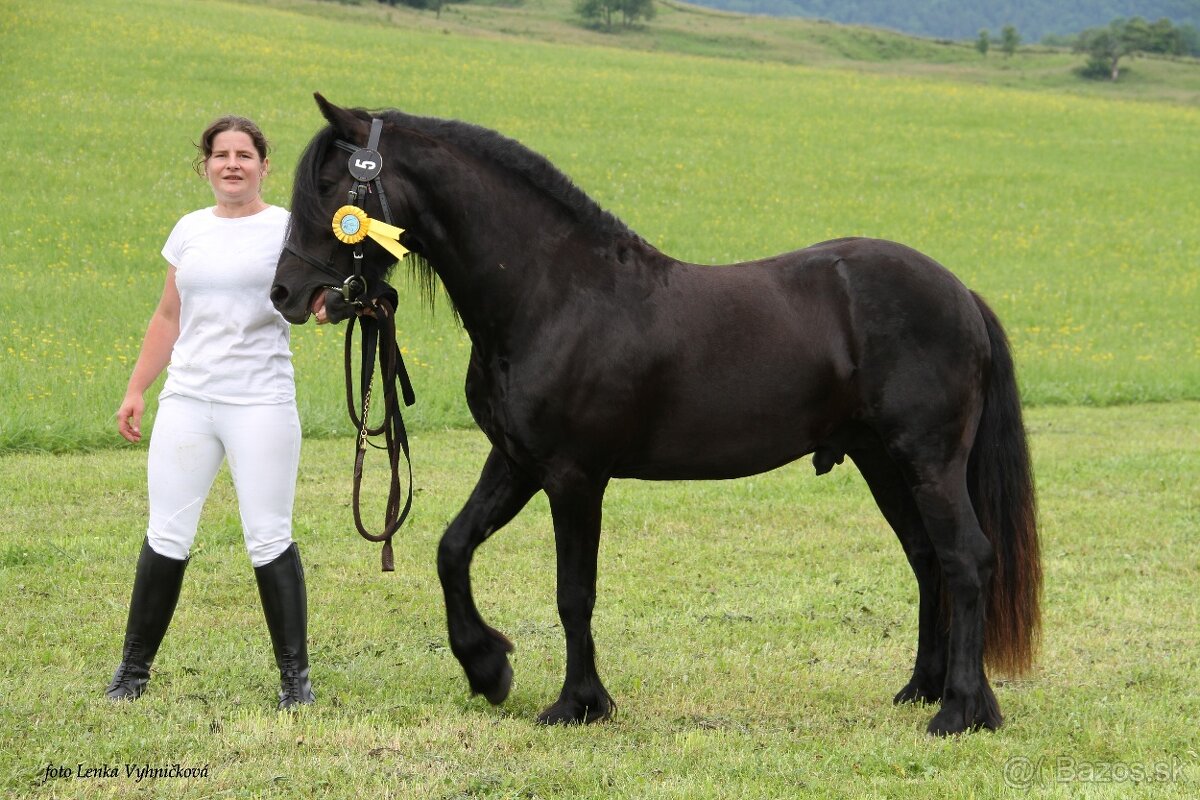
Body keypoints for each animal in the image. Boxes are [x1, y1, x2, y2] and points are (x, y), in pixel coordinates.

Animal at [271, 94, 1042, 736]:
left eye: (333, 189)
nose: (285, 293)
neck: (552, 292)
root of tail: (960, 293)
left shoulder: (574, 476)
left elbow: (573, 593)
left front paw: (578, 703)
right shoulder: (517, 462)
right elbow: (452, 548)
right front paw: (488, 668)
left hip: (928, 460)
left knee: (967, 559)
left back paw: (962, 711)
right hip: (884, 460)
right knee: (928, 558)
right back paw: (923, 689)